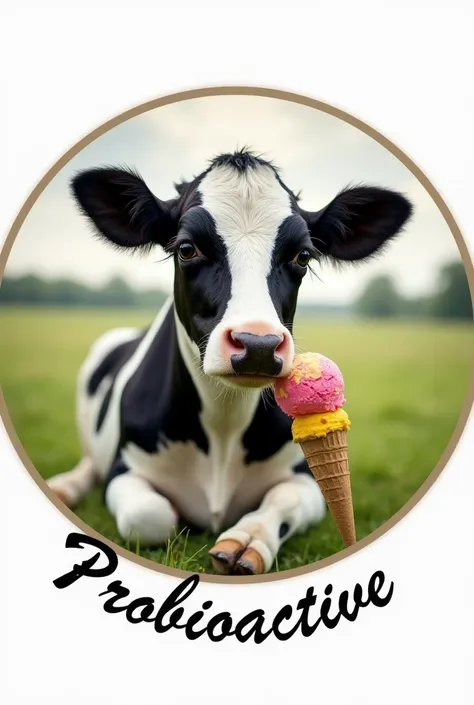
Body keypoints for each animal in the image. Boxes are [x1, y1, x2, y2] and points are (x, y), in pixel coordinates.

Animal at [46, 148, 412, 572]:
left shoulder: (303, 477)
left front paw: (245, 541)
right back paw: (64, 487)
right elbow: (150, 516)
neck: (224, 423)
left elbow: (283, 499)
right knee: (90, 465)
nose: (258, 344)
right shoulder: (125, 469)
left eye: (303, 255)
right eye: (187, 248)